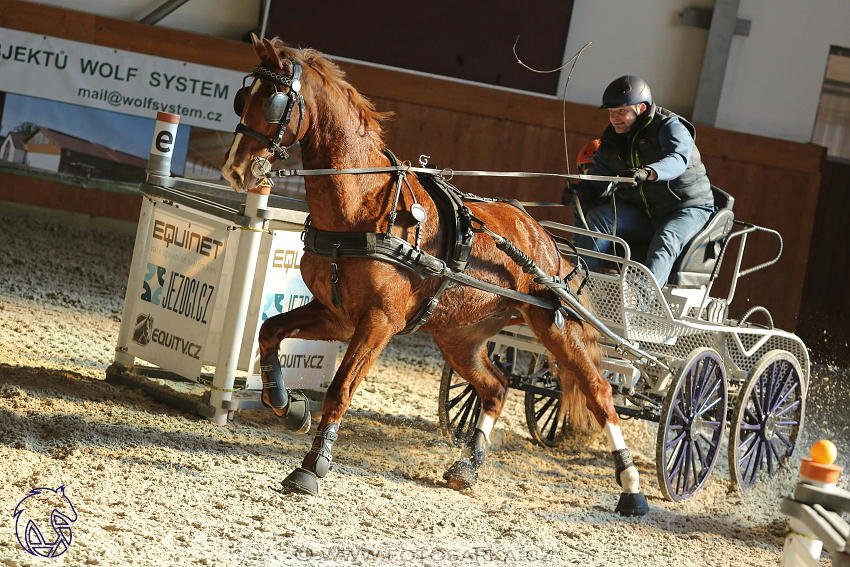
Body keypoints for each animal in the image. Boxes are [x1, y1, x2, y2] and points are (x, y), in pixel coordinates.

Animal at [222, 33, 644, 516]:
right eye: (242, 98)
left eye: (274, 102)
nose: (234, 169)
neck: (363, 204)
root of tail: (544, 240)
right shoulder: (337, 315)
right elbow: (270, 332)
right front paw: (287, 406)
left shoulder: (378, 322)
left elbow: (340, 389)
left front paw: (312, 467)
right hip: (459, 334)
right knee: (496, 387)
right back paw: (469, 465)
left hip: (555, 327)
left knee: (600, 393)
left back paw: (632, 488)